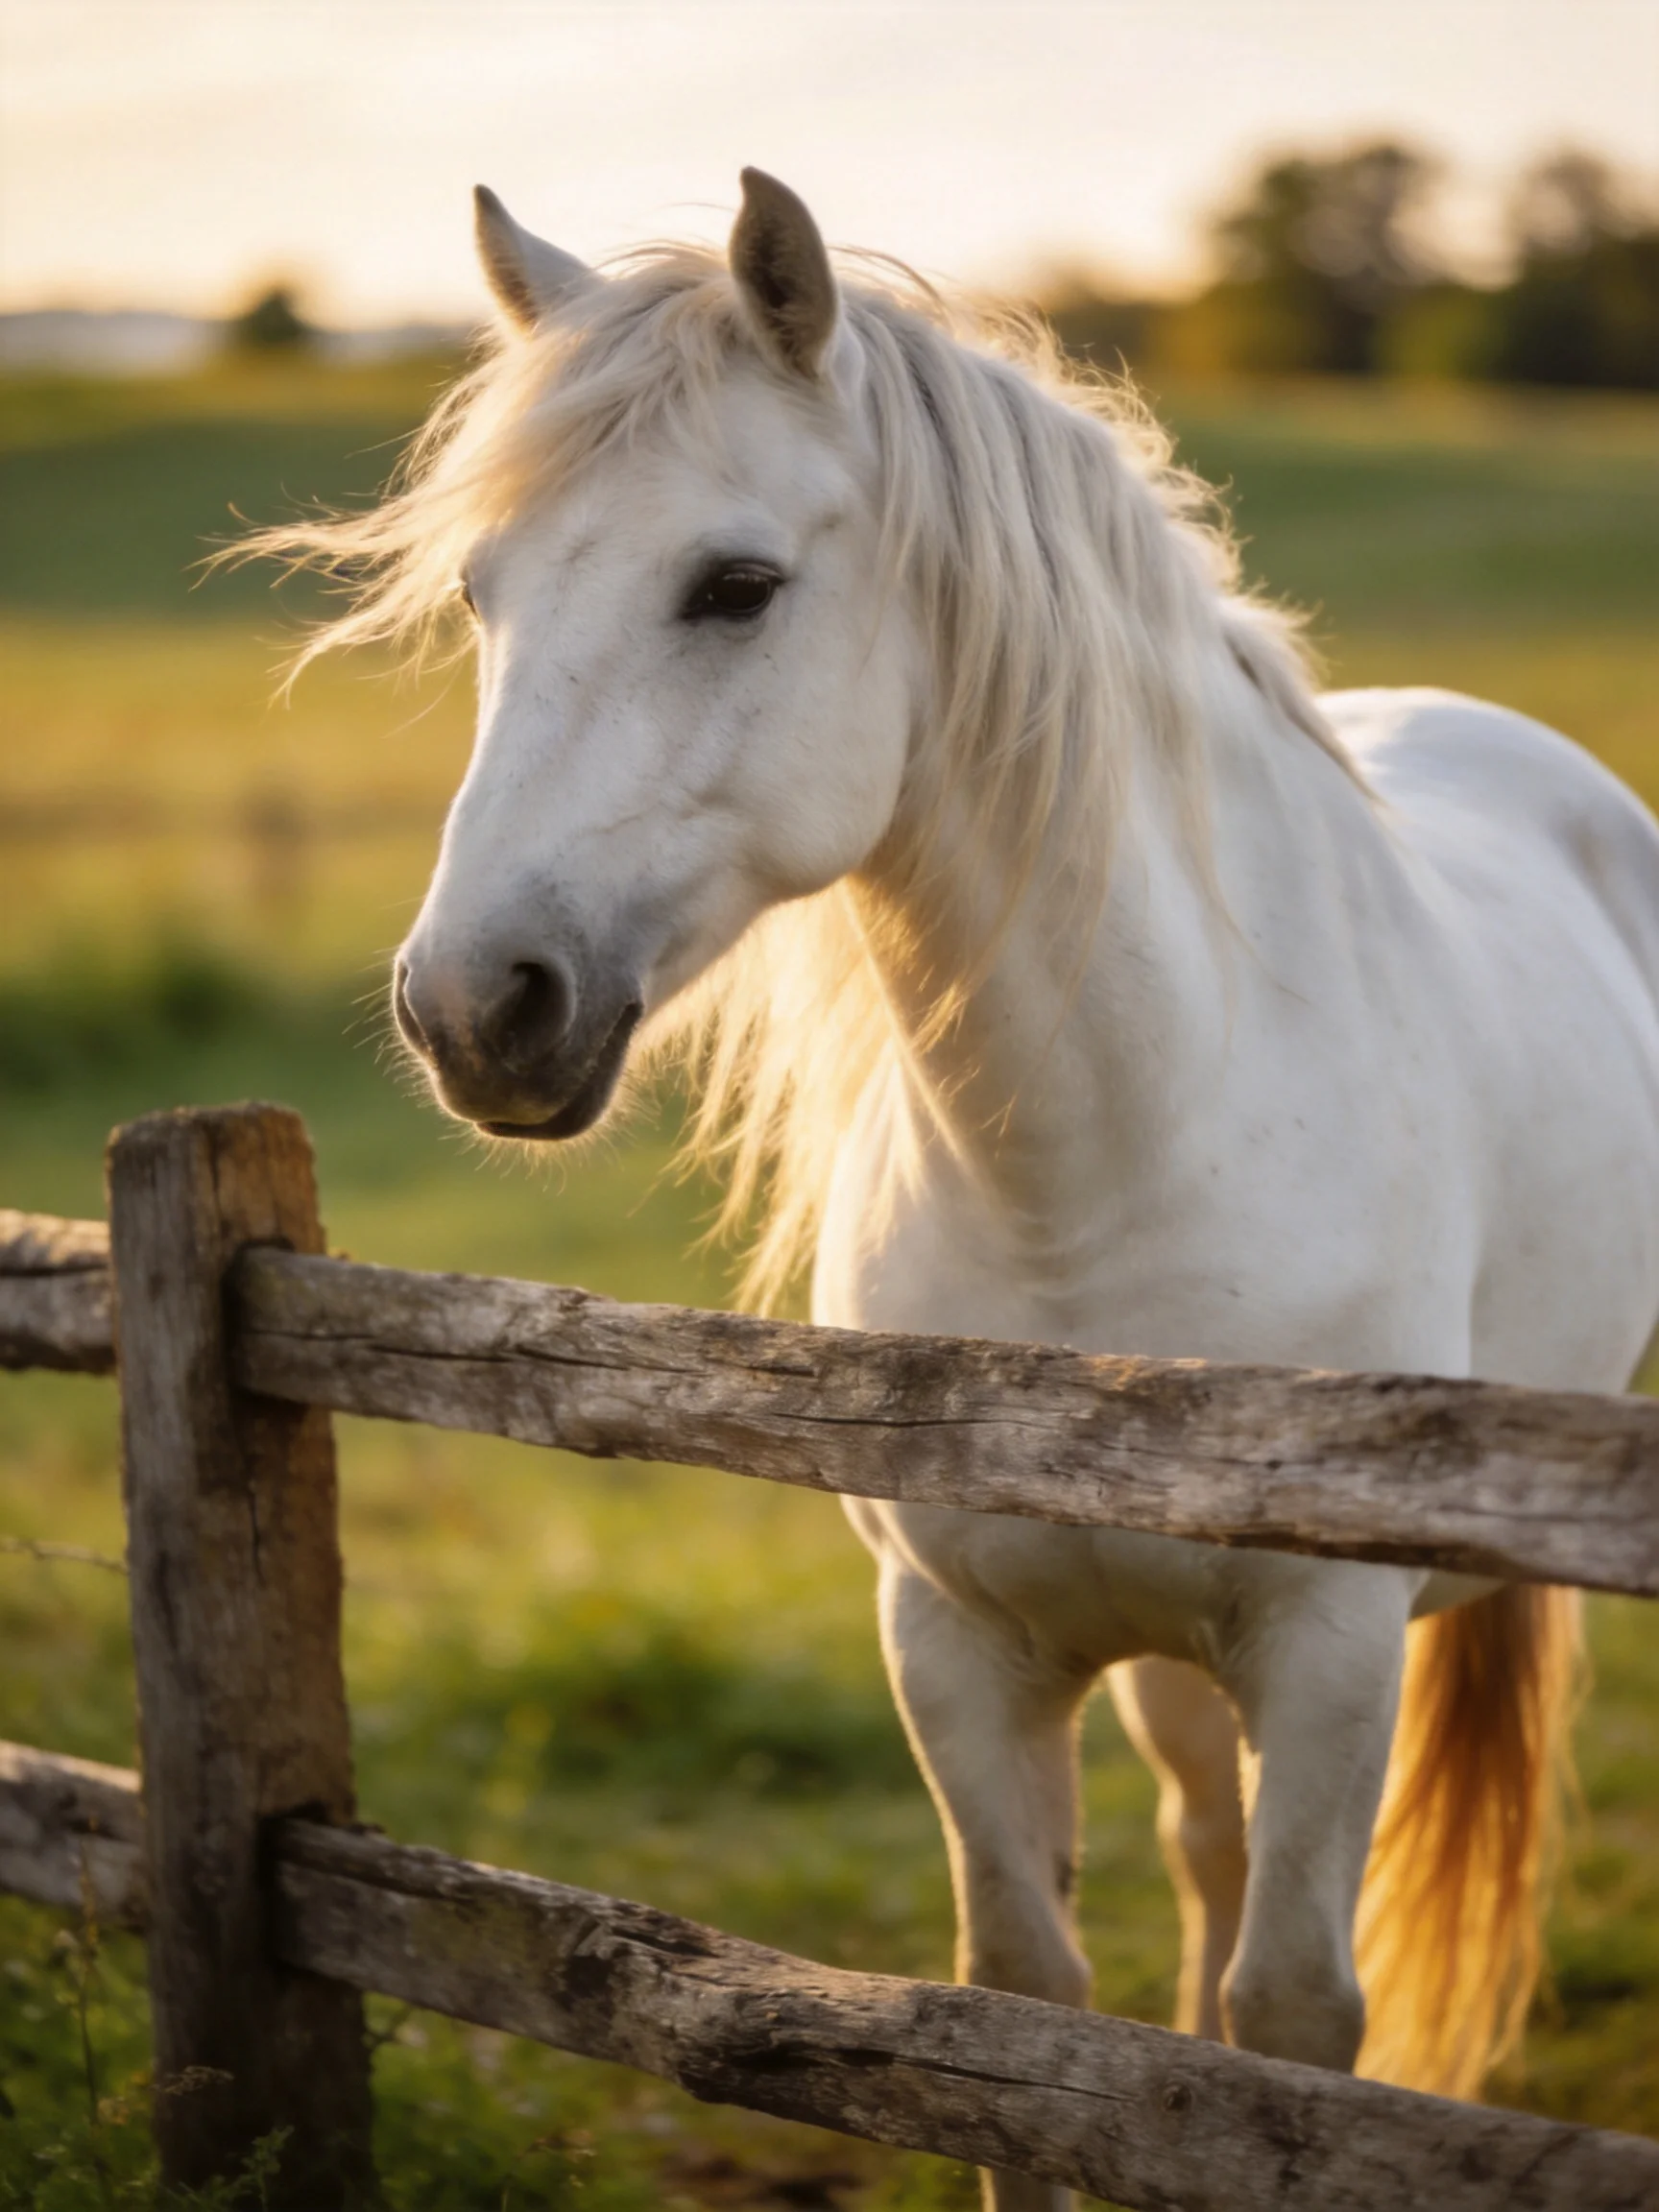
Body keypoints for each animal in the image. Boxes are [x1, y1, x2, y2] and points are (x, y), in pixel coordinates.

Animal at [253, 171, 1659, 2212]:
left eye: (734, 584)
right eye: (477, 594)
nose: (471, 1006)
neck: (1109, 1165)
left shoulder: (1324, 1651)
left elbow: (1293, 2024)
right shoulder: (954, 1645)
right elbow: (1024, 2015)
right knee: (1196, 1858)